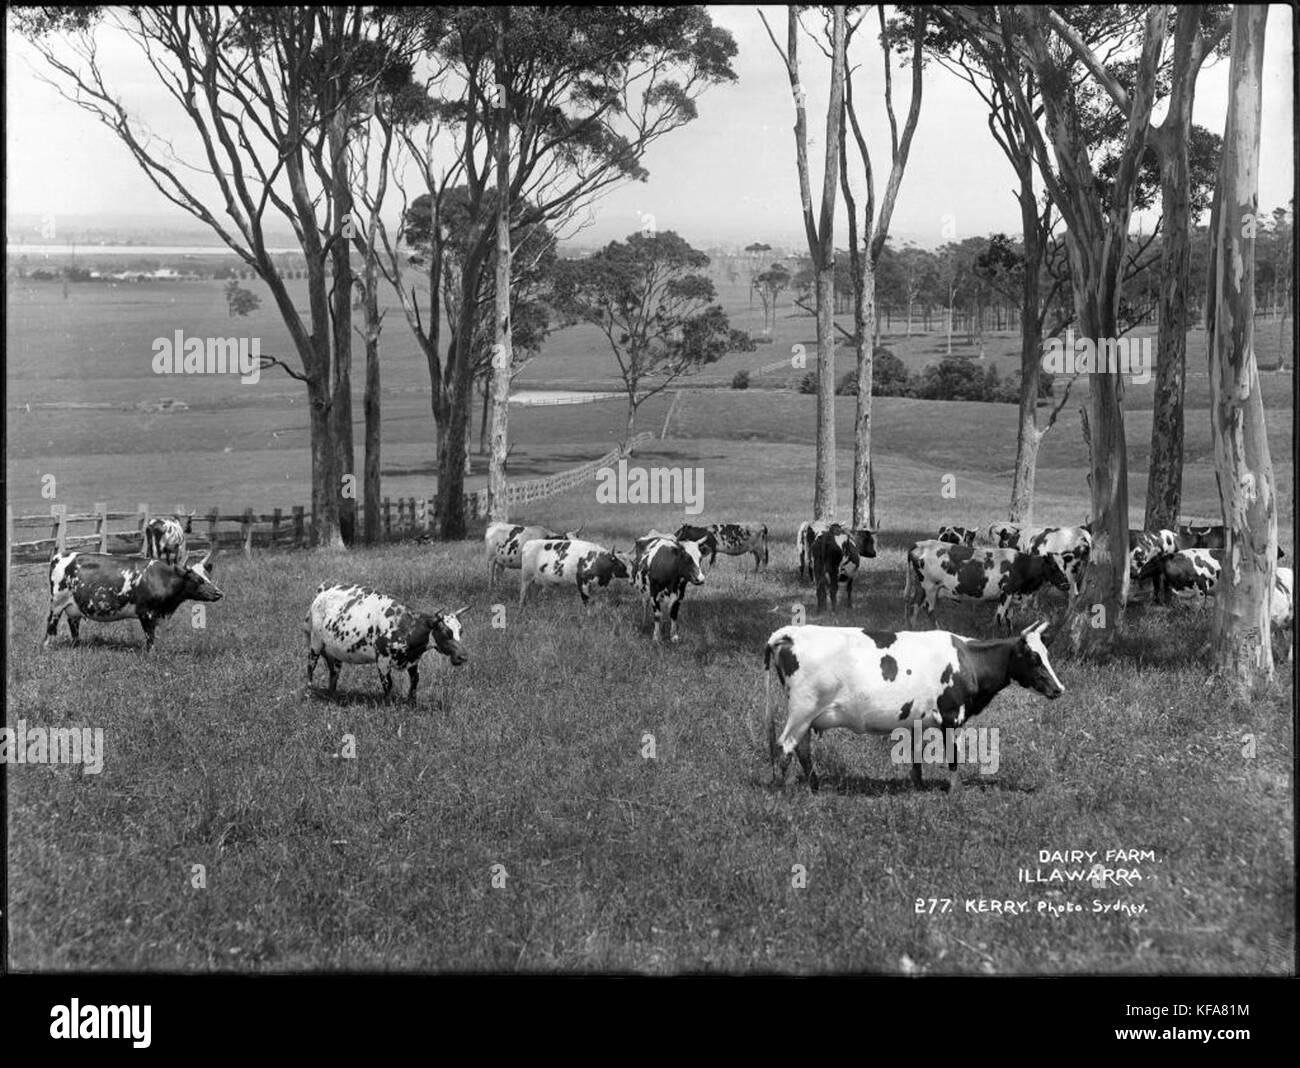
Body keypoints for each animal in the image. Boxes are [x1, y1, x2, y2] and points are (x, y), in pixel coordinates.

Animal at [44, 550, 222, 652]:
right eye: (198, 579)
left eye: (208, 576)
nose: (219, 593)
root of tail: (59, 556)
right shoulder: (146, 613)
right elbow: (150, 637)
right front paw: (151, 653)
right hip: (57, 603)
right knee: (51, 624)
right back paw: (47, 646)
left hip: (73, 607)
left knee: (73, 624)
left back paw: (77, 646)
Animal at [304, 584, 467, 701]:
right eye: (446, 632)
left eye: (461, 631)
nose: (463, 657)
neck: (405, 626)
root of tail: (323, 591)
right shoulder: (382, 661)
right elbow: (388, 684)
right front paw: (389, 705)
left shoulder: (414, 660)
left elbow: (414, 682)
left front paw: (412, 703)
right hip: (315, 643)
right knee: (310, 666)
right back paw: (308, 692)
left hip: (335, 652)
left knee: (334, 673)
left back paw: (333, 695)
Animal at [759, 618, 1066, 795]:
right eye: (1034, 658)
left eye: (1047, 653)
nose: (1059, 689)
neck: (967, 659)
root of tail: (793, 632)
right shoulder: (951, 715)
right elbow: (952, 756)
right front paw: (955, 792)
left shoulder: (918, 719)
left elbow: (917, 754)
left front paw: (918, 787)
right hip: (803, 709)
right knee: (785, 746)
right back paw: (786, 792)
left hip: (807, 716)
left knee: (802, 748)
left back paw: (815, 786)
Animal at [904, 540, 1066, 631]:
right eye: (1053, 566)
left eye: (1065, 565)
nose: (1067, 585)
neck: (1021, 566)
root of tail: (921, 544)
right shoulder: (1006, 593)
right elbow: (999, 618)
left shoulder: (1012, 597)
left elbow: (1009, 620)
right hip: (930, 587)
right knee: (929, 609)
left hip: (922, 587)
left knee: (914, 606)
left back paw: (913, 630)